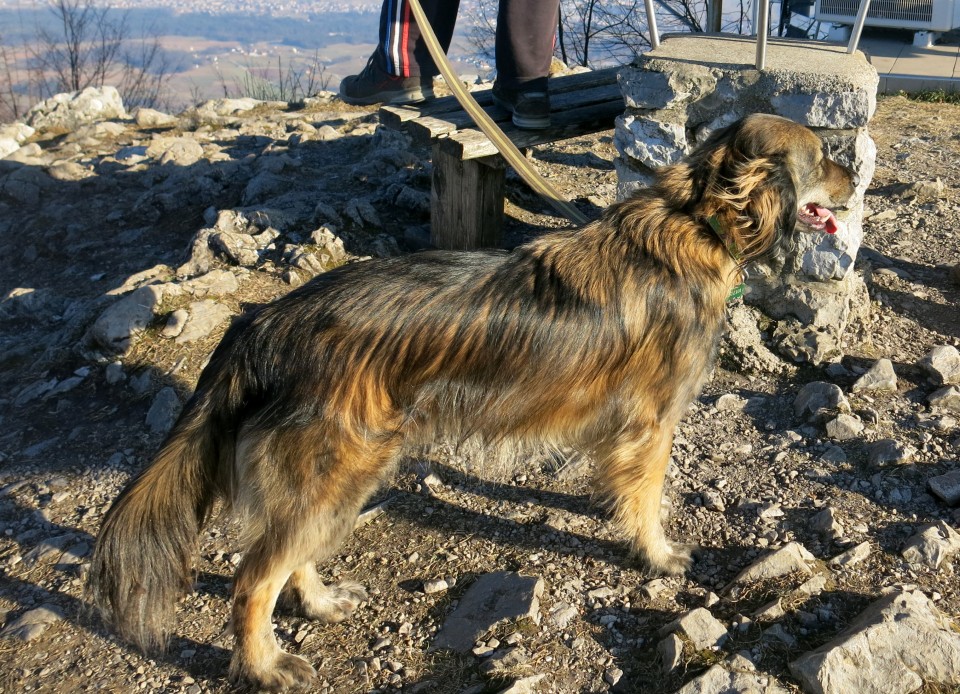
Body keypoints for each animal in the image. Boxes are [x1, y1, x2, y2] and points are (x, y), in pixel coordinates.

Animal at [88, 114, 856, 692]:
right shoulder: (652, 421)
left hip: (335, 475)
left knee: (288, 554)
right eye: (823, 155)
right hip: (338, 465)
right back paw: (264, 666)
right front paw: (658, 555)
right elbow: (647, 497)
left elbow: (616, 483)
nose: (856, 180)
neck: (700, 220)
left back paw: (322, 601)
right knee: (252, 582)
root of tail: (267, 323)